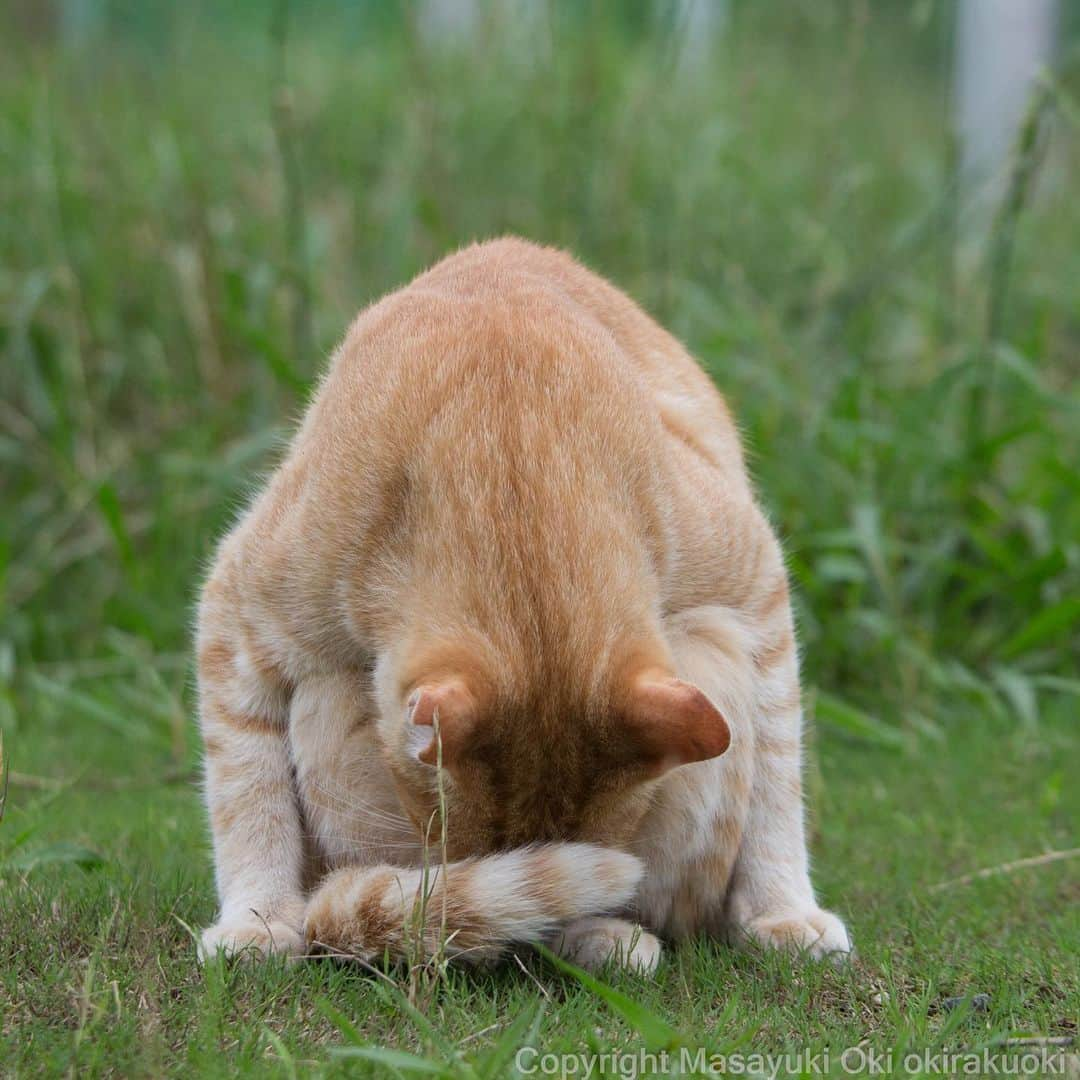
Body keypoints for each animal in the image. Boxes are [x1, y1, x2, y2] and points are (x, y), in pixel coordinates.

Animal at [194, 234, 851, 972]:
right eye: (466, 855)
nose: (515, 952)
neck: (511, 468)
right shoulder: (237, 622)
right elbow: (246, 796)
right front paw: (256, 921)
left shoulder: (756, 593)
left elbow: (778, 785)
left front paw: (781, 911)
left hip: (712, 646)